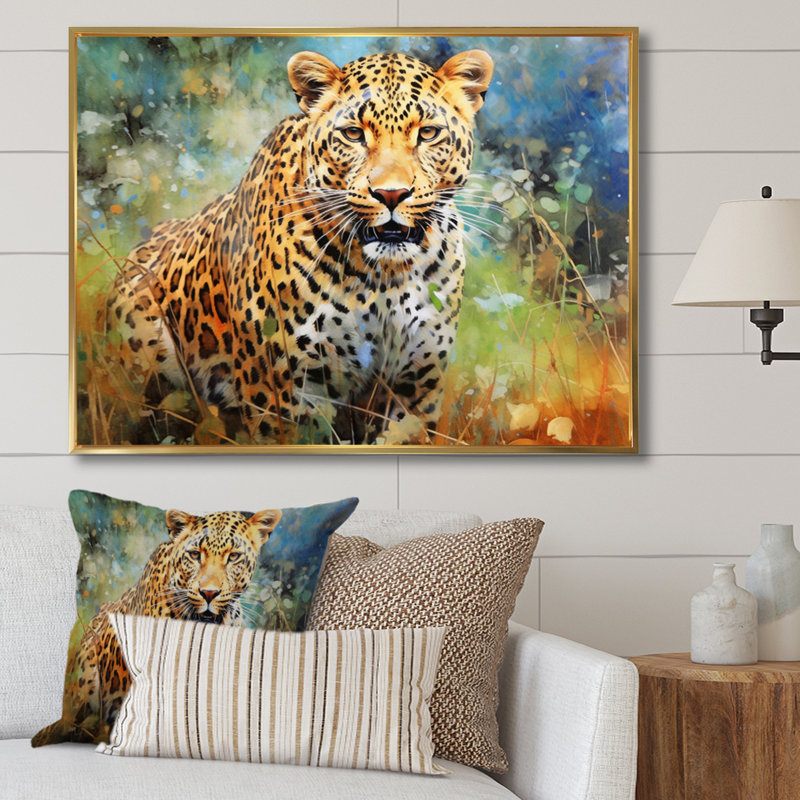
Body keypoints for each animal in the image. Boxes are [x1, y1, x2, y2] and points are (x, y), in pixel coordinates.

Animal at [107, 48, 493, 445]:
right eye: (353, 134)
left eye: (428, 133)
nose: (391, 194)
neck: (384, 276)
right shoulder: (282, 395)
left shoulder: (415, 386)